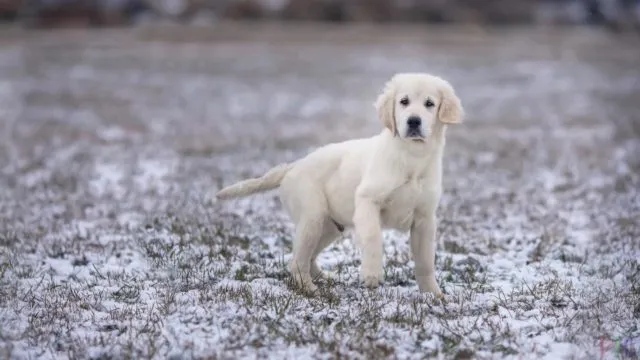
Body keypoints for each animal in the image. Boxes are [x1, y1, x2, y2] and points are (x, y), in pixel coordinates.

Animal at [218, 73, 462, 296]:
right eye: (404, 101)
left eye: (429, 104)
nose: (413, 121)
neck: (412, 157)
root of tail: (293, 166)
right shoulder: (367, 200)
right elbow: (373, 237)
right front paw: (372, 275)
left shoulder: (424, 218)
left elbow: (425, 260)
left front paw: (433, 294)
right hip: (313, 215)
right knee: (297, 260)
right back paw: (309, 288)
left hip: (330, 227)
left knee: (308, 256)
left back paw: (323, 278)